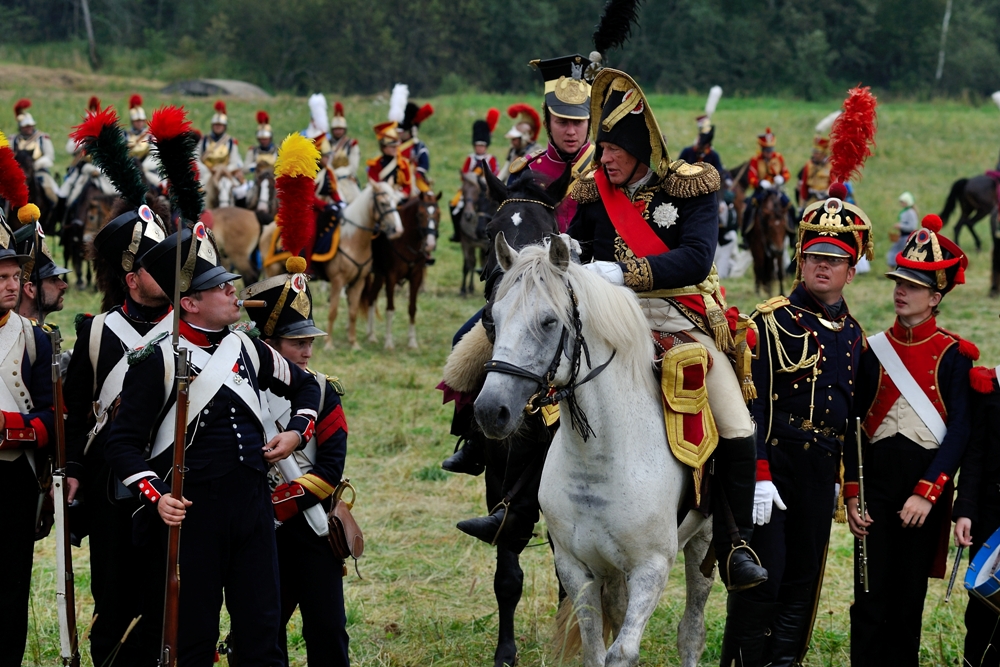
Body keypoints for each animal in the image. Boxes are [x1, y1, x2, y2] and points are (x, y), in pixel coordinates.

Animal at [260, 183, 404, 350]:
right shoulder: (338, 280)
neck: (352, 240)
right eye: (383, 203)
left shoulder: (358, 282)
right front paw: (329, 344)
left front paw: (354, 343)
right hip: (273, 270)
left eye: (397, 202)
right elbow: (333, 311)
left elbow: (353, 312)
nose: (397, 230)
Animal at [360, 190, 438, 350]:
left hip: (379, 276)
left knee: (371, 298)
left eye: (438, 213)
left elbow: (412, 308)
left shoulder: (416, 277)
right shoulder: (391, 277)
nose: (430, 244)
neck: (405, 241)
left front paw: (412, 341)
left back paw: (371, 335)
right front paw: (389, 342)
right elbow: (390, 309)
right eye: (420, 214)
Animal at [474, 235, 712, 667]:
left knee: (692, 631)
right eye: (492, 320)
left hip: (704, 540)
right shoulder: (575, 566)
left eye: (549, 321)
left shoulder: (651, 568)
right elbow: (594, 648)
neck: (600, 460)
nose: (489, 411)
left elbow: (623, 652)